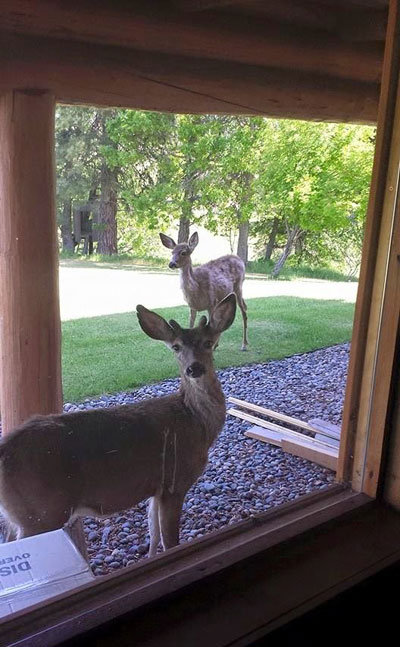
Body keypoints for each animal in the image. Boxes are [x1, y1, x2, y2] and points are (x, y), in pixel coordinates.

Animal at [0, 294, 238, 556]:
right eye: (176, 346)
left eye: (208, 342)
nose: (194, 368)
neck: (196, 421)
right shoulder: (174, 482)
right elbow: (170, 541)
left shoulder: (156, 488)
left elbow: (154, 532)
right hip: (41, 512)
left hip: (21, 516)